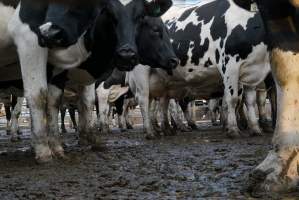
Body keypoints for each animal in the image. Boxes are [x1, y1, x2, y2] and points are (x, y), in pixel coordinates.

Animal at [164, 0, 272, 138]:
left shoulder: (252, 72)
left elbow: (250, 101)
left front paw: (255, 129)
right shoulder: (230, 66)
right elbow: (232, 100)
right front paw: (233, 129)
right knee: (170, 106)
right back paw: (178, 126)